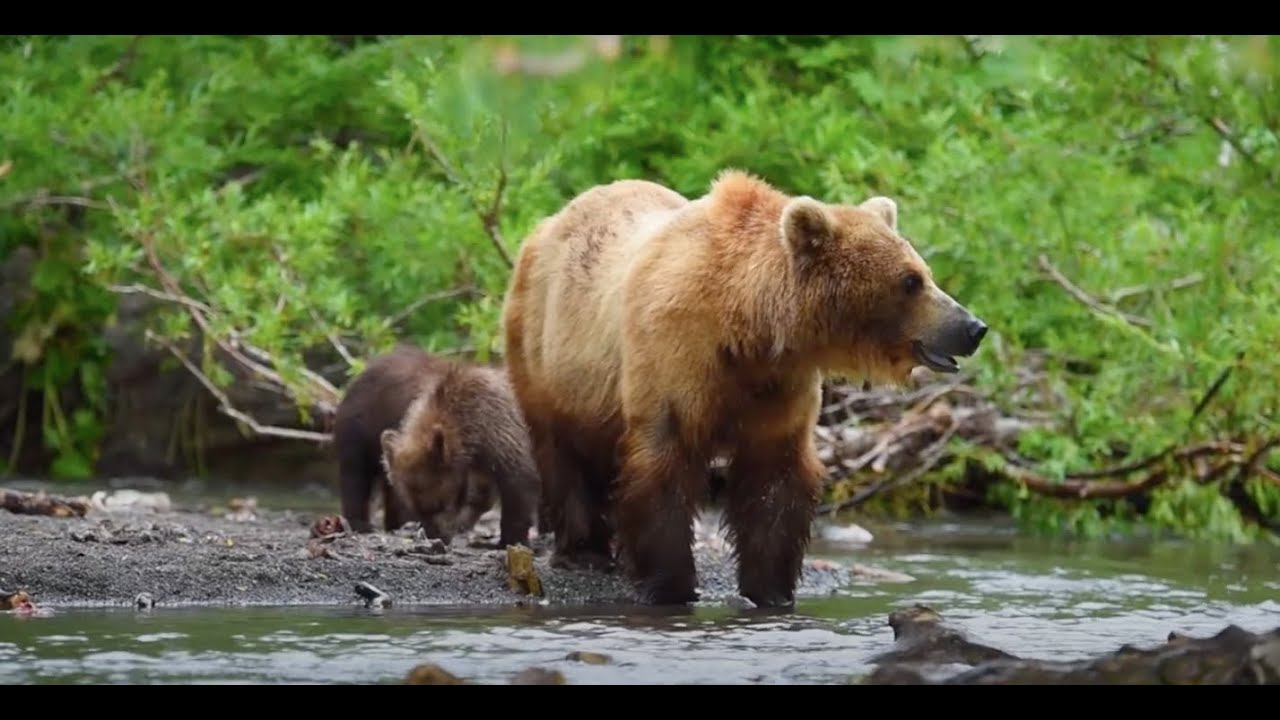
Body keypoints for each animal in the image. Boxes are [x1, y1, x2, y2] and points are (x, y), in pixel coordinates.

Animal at [332, 345, 540, 548]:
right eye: (418, 509)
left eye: (439, 504)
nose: (437, 537)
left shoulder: (503, 435)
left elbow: (518, 483)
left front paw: (511, 539)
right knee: (356, 476)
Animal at [500, 169, 988, 608]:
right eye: (911, 281)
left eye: (924, 273)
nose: (973, 327)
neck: (747, 326)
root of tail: (554, 218)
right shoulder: (674, 354)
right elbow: (664, 468)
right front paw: (672, 586)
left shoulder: (777, 384)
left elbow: (775, 481)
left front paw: (770, 590)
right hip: (547, 351)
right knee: (563, 450)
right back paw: (584, 551)